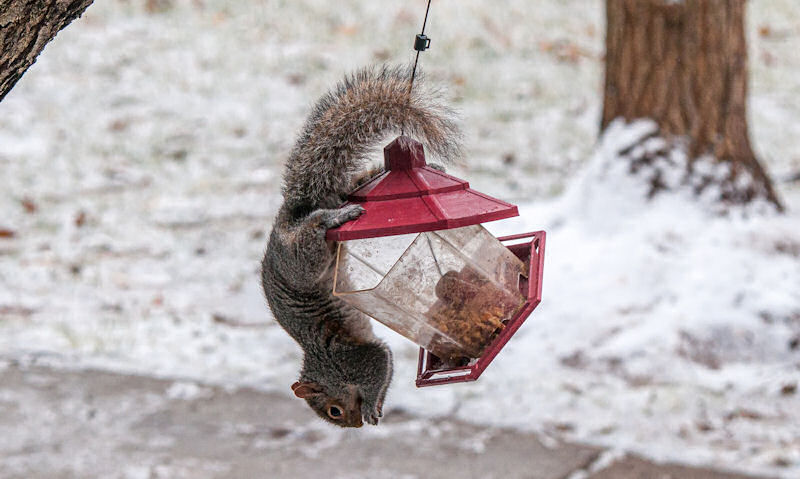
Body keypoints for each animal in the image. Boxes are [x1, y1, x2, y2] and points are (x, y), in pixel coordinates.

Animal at [262, 65, 462, 430]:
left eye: (334, 411)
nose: (354, 426)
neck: (326, 366)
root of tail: (287, 219)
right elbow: (387, 364)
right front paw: (377, 407)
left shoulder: (353, 358)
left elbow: (379, 360)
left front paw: (370, 407)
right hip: (341, 205)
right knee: (359, 183)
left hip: (302, 260)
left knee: (317, 227)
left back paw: (337, 217)